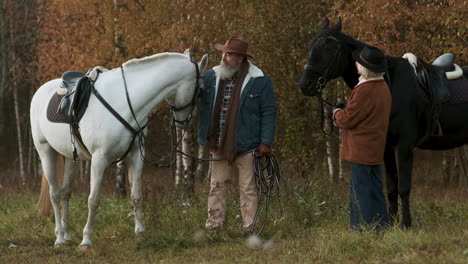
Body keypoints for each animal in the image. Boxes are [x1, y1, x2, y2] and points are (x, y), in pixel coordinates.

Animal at [30, 50, 208, 248]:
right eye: (201, 90)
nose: (184, 122)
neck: (125, 102)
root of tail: (41, 91)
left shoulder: (136, 156)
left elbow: (136, 195)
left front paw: (140, 232)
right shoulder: (99, 159)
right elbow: (93, 199)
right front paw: (86, 240)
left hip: (70, 158)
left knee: (65, 193)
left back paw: (67, 235)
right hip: (46, 152)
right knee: (54, 194)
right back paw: (60, 238)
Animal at [302, 18, 466, 228]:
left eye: (330, 48)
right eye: (311, 46)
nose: (305, 84)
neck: (389, 83)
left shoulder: (403, 147)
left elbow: (404, 187)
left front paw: (405, 224)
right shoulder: (387, 147)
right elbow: (391, 188)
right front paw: (391, 223)